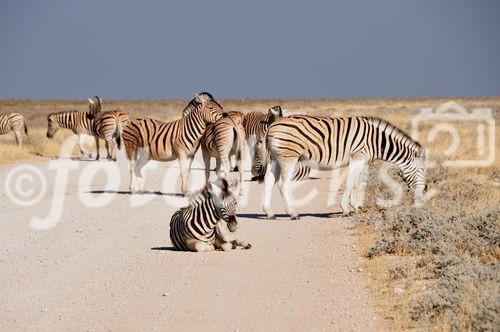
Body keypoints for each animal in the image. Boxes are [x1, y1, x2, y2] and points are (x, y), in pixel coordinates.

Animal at [260, 115, 428, 219]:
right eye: (422, 170)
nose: (425, 190)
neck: (376, 141)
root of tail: (272, 126)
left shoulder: (361, 161)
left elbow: (357, 183)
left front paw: (356, 206)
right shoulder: (357, 158)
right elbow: (349, 183)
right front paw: (346, 209)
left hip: (275, 158)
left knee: (268, 181)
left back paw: (269, 213)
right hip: (289, 157)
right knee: (283, 184)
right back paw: (293, 214)